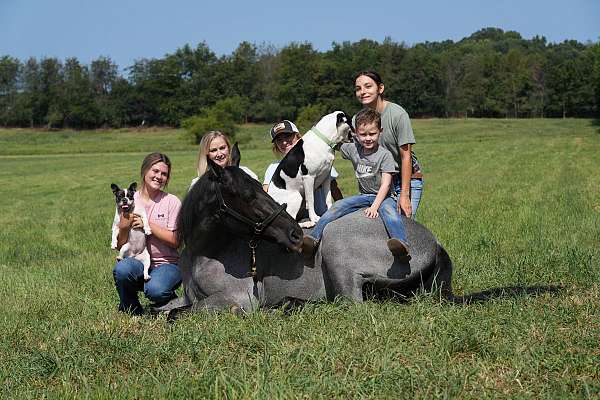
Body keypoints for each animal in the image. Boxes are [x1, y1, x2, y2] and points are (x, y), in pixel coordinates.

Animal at [155, 145, 454, 318]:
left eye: (258, 187)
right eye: (247, 196)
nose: (294, 234)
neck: (205, 254)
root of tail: (432, 242)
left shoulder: (237, 299)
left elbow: (176, 315)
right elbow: (158, 310)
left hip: (336, 250)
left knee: (347, 305)